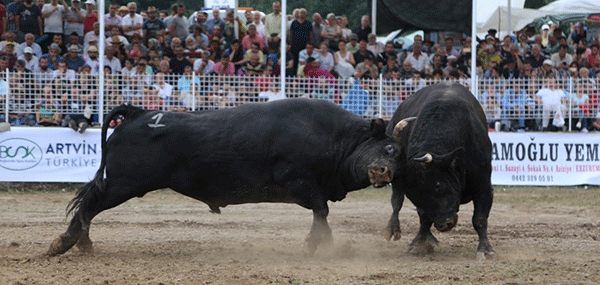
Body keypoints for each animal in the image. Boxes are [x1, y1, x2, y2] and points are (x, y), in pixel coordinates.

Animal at [47, 98, 400, 256]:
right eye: (388, 148)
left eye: (399, 153)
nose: (384, 171)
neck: (333, 137)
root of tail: (139, 113)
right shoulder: (297, 180)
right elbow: (321, 211)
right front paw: (317, 244)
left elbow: (321, 213)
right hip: (123, 184)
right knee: (90, 202)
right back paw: (67, 241)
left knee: (89, 202)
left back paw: (80, 242)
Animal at [384, 81, 496, 258]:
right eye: (414, 194)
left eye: (438, 185)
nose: (444, 224)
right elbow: (423, 216)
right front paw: (419, 243)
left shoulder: (483, 185)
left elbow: (479, 218)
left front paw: (485, 249)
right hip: (396, 184)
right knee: (396, 202)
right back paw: (395, 229)